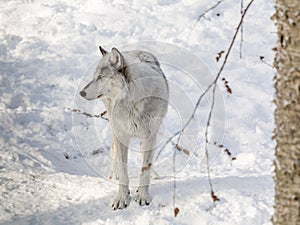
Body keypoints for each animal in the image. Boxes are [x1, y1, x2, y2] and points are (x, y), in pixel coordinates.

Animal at [79, 46, 169, 210]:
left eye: (101, 77)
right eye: (94, 77)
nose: (81, 92)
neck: (132, 103)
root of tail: (134, 50)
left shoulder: (149, 136)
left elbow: (144, 169)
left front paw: (142, 196)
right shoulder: (121, 136)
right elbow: (123, 172)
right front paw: (122, 198)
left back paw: (154, 175)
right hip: (114, 127)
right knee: (114, 150)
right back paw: (112, 175)